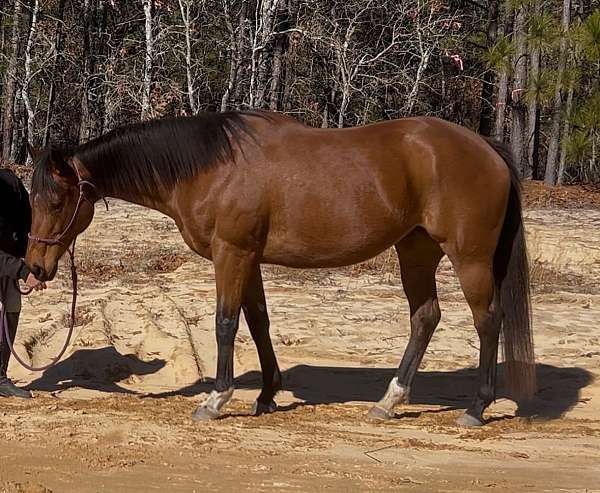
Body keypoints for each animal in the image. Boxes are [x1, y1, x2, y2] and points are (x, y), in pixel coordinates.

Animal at [27, 109, 536, 424]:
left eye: (56, 200)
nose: (35, 267)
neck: (211, 167)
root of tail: (485, 147)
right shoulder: (249, 258)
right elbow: (259, 322)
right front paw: (267, 395)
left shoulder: (231, 254)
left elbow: (226, 323)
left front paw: (216, 399)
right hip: (415, 251)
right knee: (425, 316)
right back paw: (388, 402)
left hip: (469, 257)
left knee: (488, 320)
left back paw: (476, 407)